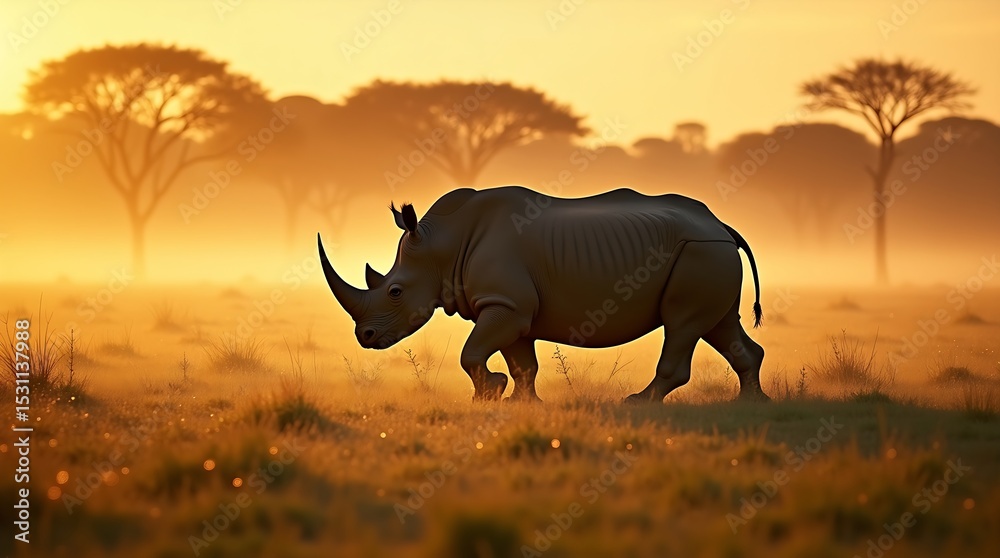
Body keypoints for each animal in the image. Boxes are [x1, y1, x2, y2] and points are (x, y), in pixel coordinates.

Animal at [318, 186, 767, 403]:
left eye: (394, 292)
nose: (365, 338)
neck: (441, 246)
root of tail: (722, 226)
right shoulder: (509, 307)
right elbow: (523, 364)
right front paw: (520, 403)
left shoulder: (505, 303)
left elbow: (472, 353)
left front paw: (490, 394)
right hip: (709, 253)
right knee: (718, 324)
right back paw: (752, 404)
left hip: (700, 253)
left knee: (683, 324)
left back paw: (638, 403)